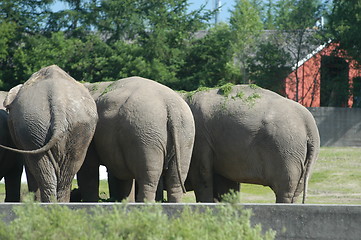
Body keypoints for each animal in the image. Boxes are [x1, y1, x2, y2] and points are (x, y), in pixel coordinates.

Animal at [0, 64, 97, 202]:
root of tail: (58, 104)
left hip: (35, 128)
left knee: (39, 167)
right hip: (75, 129)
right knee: (67, 171)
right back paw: (58, 204)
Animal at [181, 84, 320, 202]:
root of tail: (308, 122)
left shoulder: (200, 140)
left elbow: (202, 177)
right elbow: (226, 185)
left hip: (286, 150)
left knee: (285, 190)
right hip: (301, 155)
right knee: (296, 191)